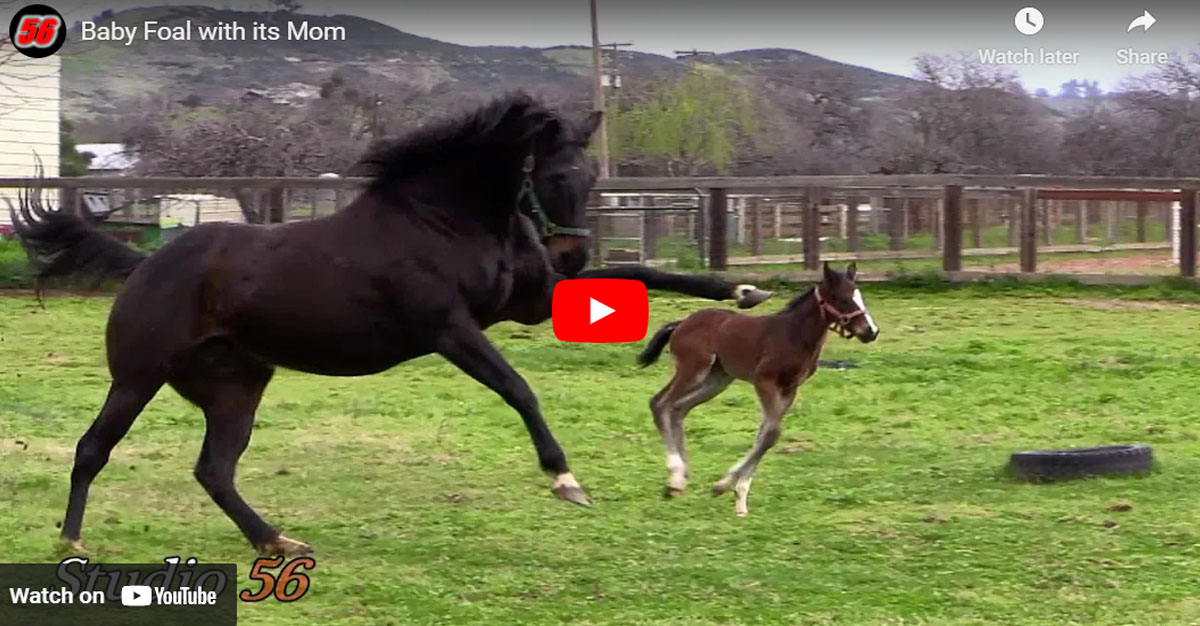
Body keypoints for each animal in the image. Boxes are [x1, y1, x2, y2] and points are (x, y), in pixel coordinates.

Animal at [9, 91, 768, 551]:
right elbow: (519, 389)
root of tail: (146, 264)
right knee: (93, 449)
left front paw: (741, 291)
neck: (445, 219)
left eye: (593, 180)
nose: (571, 253)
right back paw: (72, 541)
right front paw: (565, 481)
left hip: (235, 386)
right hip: (137, 378)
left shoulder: (527, 301)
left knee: (214, 470)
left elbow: (644, 278)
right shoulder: (450, 329)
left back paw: (275, 540)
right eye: (553, 178)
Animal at [638, 260, 883, 513]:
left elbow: (764, 434)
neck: (794, 335)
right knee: (660, 403)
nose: (871, 331)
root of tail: (681, 324)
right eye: (840, 298)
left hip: (717, 379)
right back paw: (675, 478)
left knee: (678, 408)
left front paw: (739, 497)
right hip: (693, 370)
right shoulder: (764, 381)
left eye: (858, 295)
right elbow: (771, 434)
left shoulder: (790, 389)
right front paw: (723, 485)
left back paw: (680, 480)